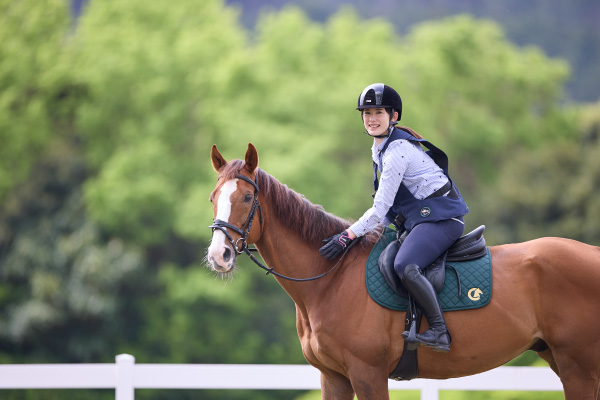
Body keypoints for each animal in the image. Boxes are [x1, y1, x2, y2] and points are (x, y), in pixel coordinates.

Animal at [205, 142, 600, 398]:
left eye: (246, 198)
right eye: (213, 197)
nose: (218, 255)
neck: (330, 279)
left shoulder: (367, 374)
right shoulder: (333, 378)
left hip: (579, 367)